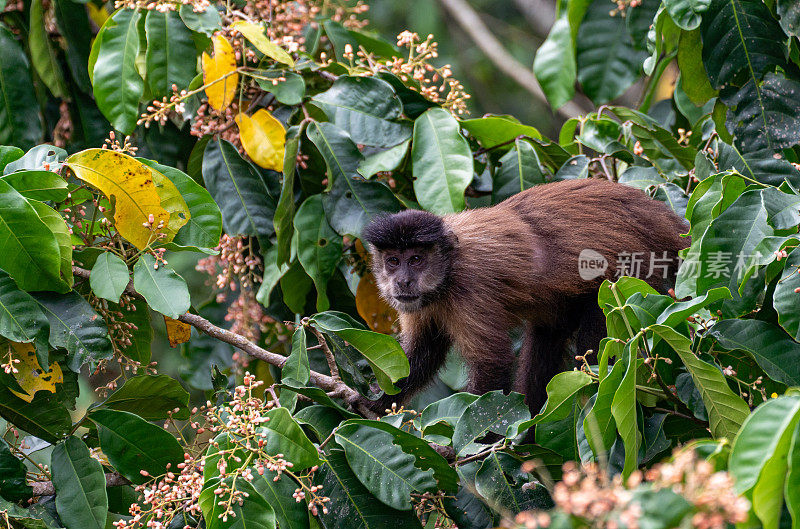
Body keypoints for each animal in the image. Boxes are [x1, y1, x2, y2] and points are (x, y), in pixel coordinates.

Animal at [360, 179, 688, 414]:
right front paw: (376, 403)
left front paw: (481, 442)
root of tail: (659, 216)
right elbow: (421, 356)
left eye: (416, 260)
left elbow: (493, 365)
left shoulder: (470, 286)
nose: (402, 280)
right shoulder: (419, 304)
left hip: (629, 279)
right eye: (393, 261)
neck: (448, 269)